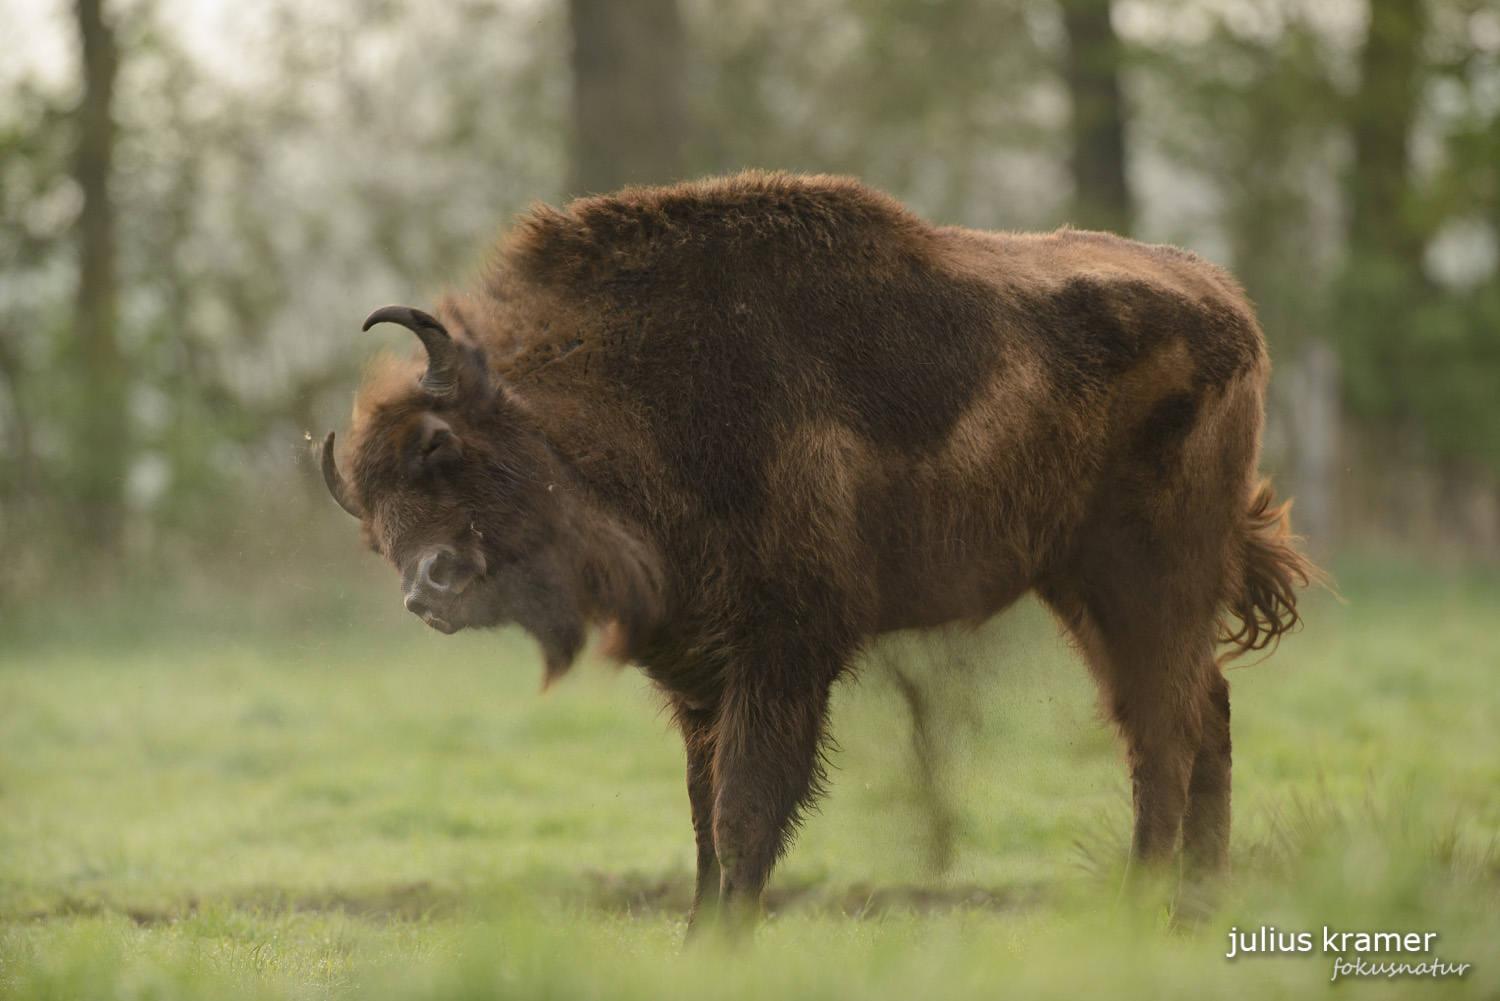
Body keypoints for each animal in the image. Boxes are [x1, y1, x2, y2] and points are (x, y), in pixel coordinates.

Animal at [319, 170, 1314, 930]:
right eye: (368, 520)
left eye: (439, 444)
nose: (426, 587)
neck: (629, 393)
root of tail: (1230, 309)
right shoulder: (704, 677)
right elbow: (702, 818)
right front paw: (698, 934)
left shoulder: (784, 654)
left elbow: (743, 810)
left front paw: (723, 941)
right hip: (1085, 587)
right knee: (1195, 714)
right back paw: (1191, 907)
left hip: (1148, 579)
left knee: (1164, 731)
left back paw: (1143, 908)